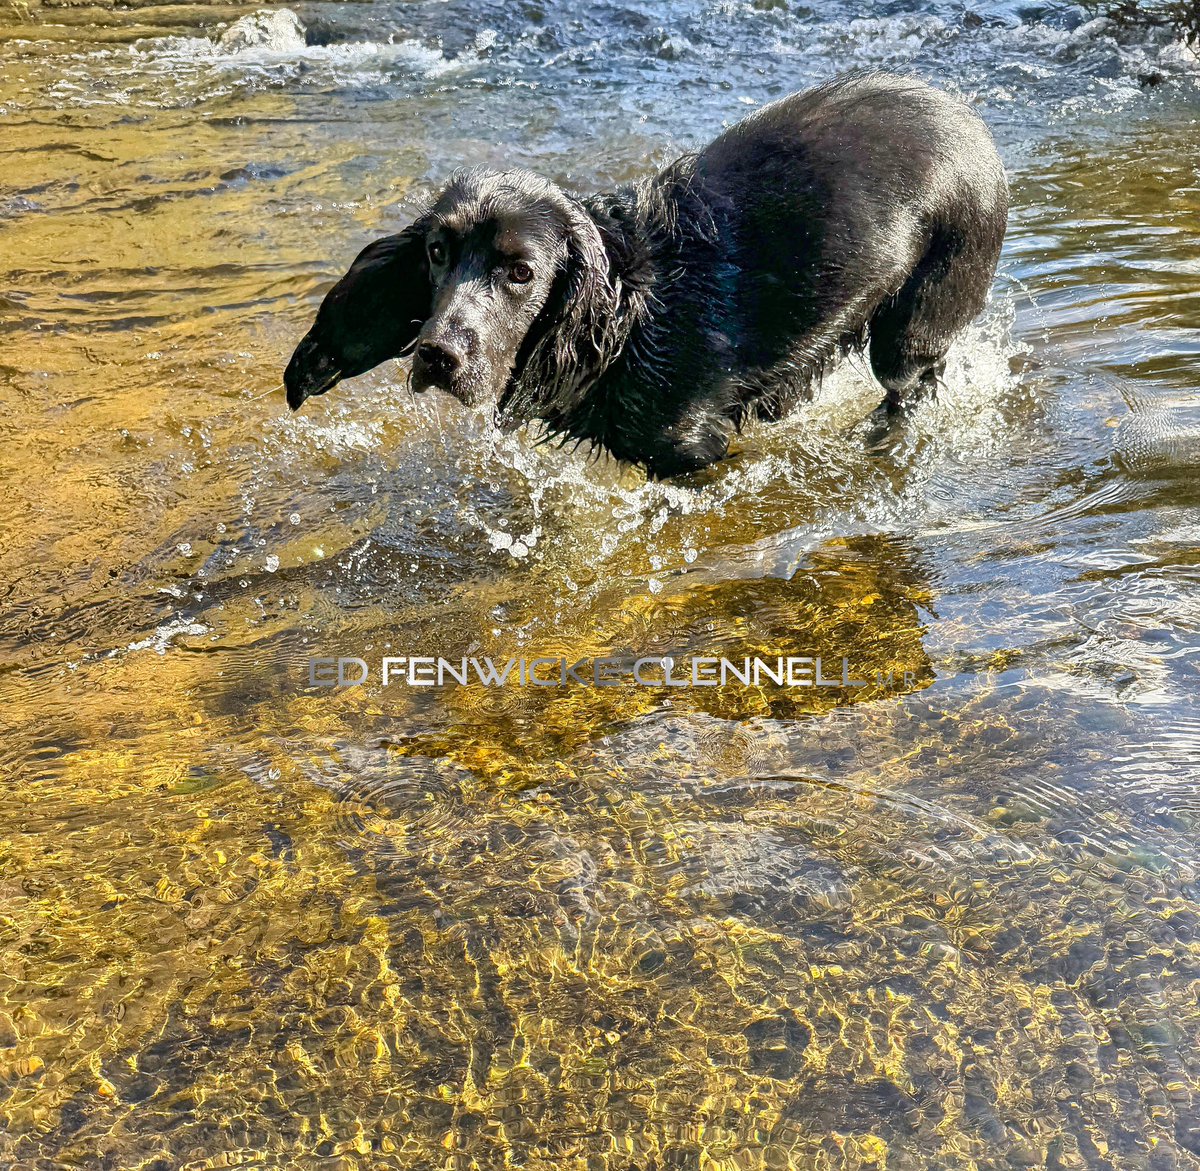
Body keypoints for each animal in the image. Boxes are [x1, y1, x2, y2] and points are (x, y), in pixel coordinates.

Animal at [285, 73, 1008, 477]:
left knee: (911, 385)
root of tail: (972, 123)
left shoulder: (691, 448)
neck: (629, 314)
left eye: (520, 271)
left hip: (913, 324)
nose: (437, 355)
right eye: (437, 251)